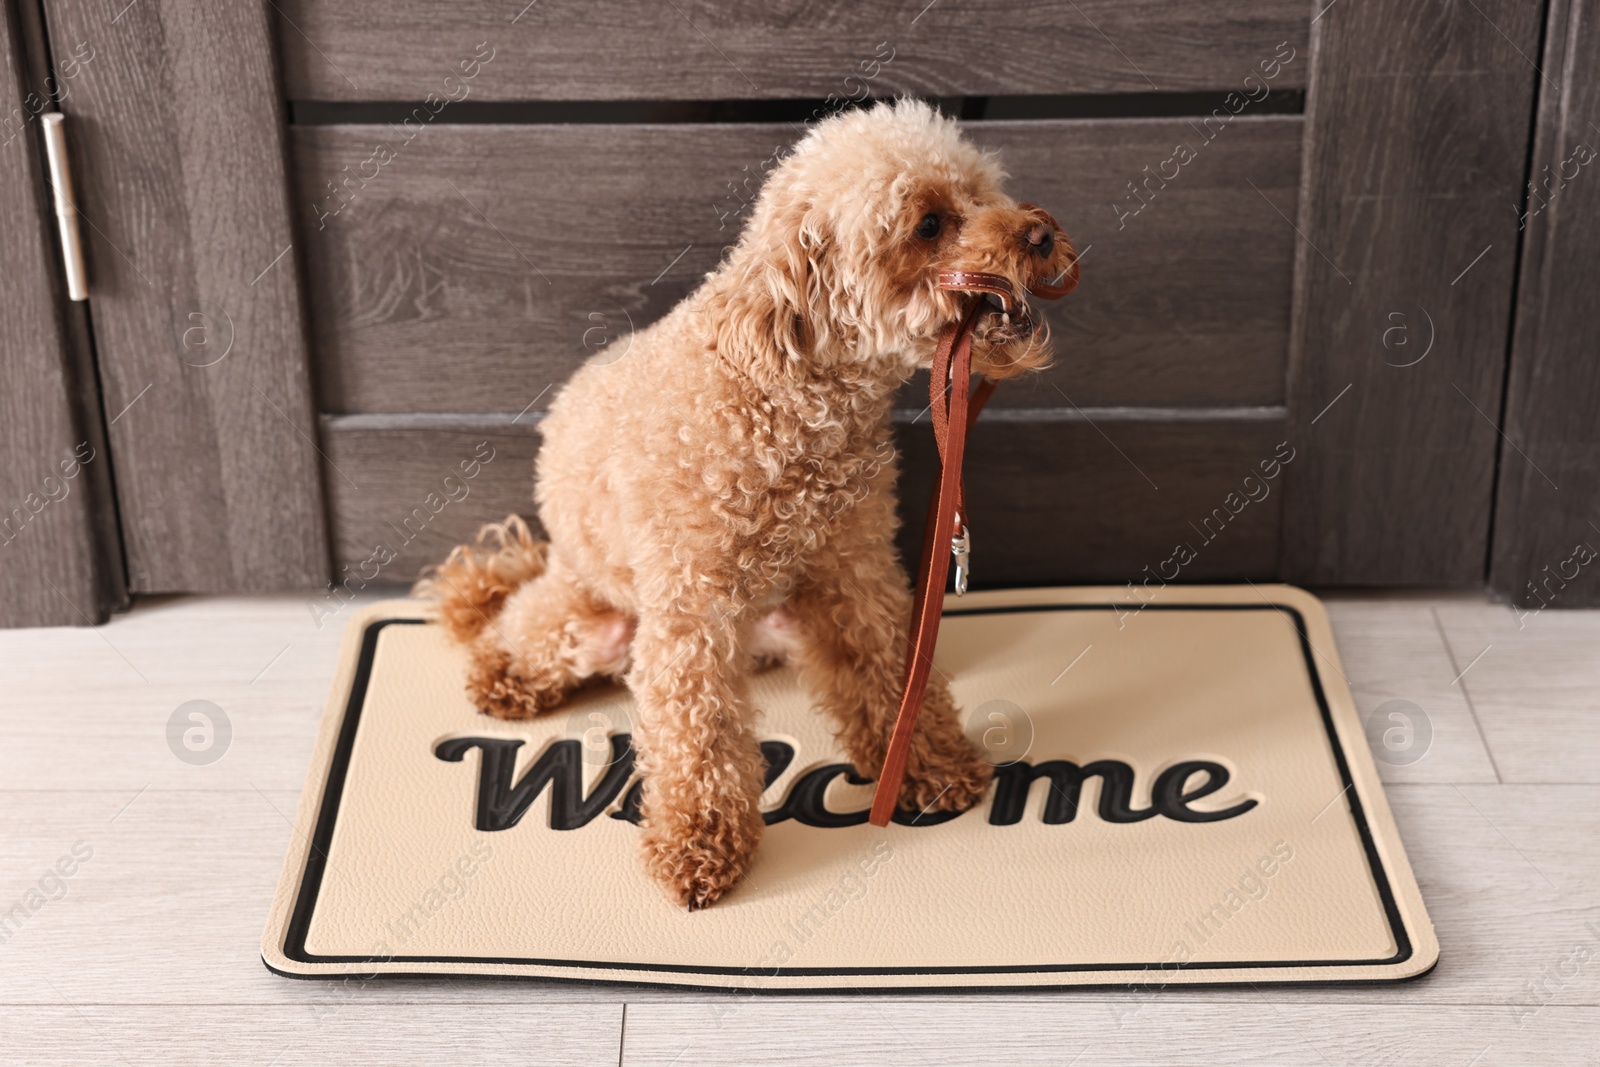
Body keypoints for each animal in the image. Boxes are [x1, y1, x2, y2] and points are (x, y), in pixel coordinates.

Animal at [419, 97, 1081, 908]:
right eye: (928, 223)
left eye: (985, 192)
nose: (1040, 233)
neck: (781, 393)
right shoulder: (690, 614)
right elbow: (697, 735)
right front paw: (697, 846)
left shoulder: (854, 572)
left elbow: (888, 670)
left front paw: (930, 765)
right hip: (591, 618)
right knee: (519, 618)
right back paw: (502, 669)